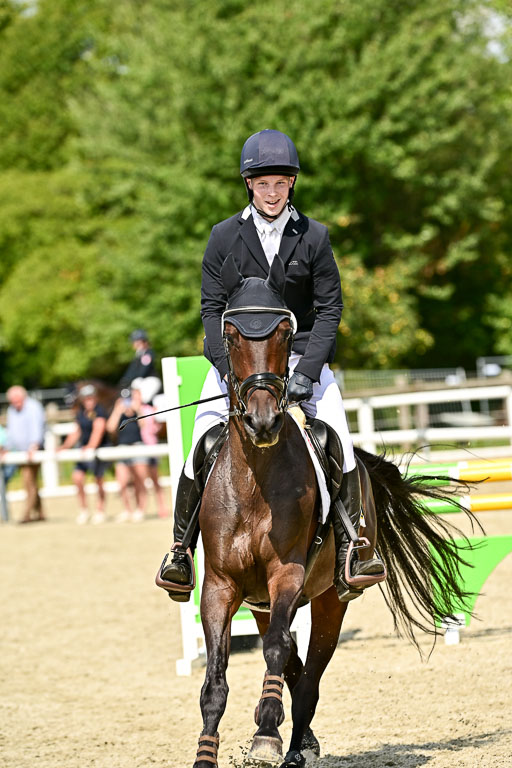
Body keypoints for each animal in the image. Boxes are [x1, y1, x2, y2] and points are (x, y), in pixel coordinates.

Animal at [189, 254, 480, 768]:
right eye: (232, 335)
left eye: (286, 332)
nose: (262, 421)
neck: (255, 478)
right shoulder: (220, 587)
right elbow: (217, 679)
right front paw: (207, 754)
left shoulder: (287, 574)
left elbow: (277, 650)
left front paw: (266, 735)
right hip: (261, 603)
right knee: (291, 662)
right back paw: (299, 739)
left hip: (330, 600)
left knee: (306, 677)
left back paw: (291, 747)